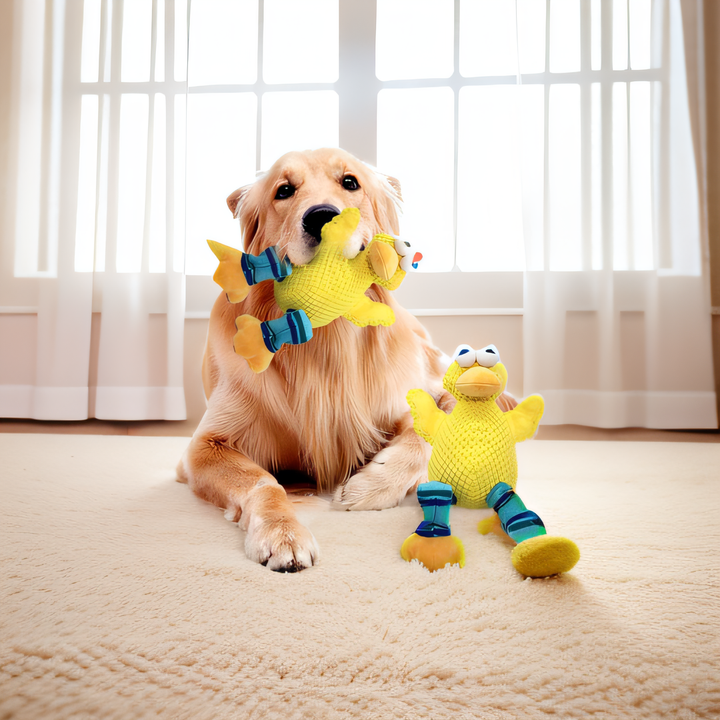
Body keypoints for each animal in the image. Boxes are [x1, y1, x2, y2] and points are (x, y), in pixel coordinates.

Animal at [179, 149, 516, 572]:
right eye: (283, 190)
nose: (322, 217)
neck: (326, 338)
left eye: (350, 182)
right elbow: (262, 481)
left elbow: (420, 437)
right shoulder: (205, 446)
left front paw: (368, 487)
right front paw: (282, 533)